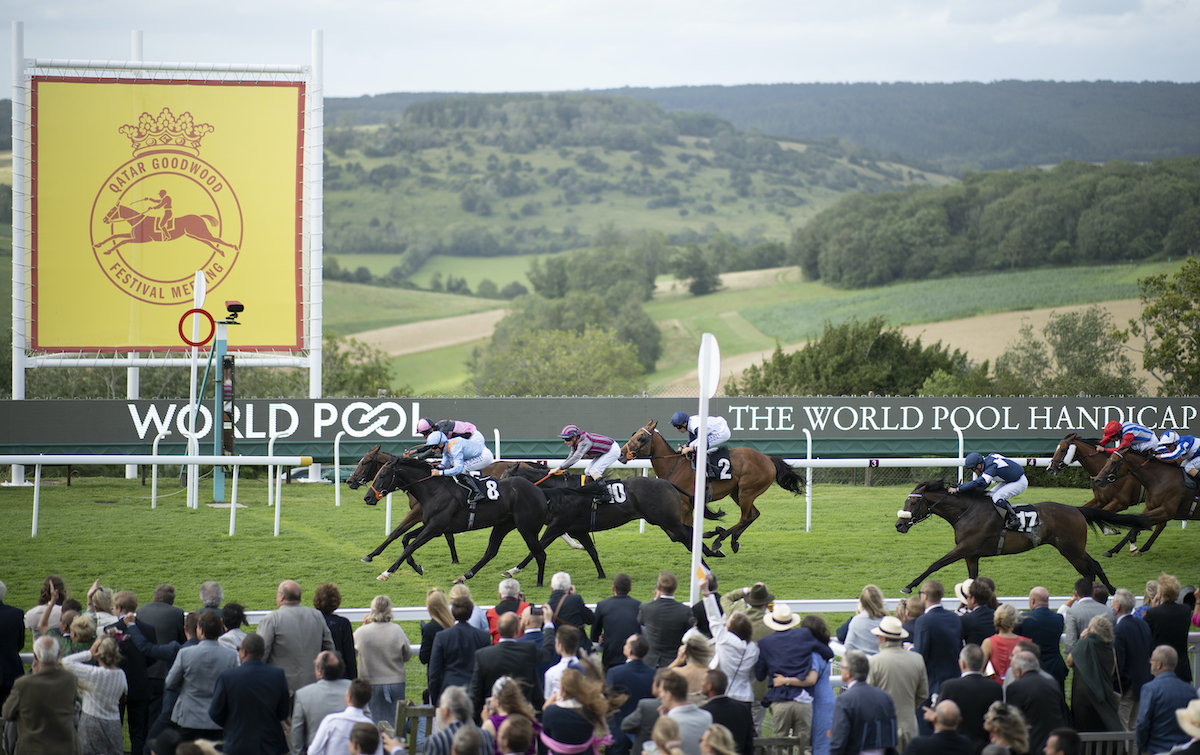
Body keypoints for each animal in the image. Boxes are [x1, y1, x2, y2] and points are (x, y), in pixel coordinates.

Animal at [92, 202, 240, 255]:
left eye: (112, 210)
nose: (104, 219)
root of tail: (198, 216)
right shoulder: (133, 236)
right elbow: (115, 236)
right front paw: (98, 245)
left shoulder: (141, 240)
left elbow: (121, 241)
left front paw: (108, 250)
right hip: (196, 235)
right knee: (210, 242)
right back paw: (221, 251)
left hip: (199, 234)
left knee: (216, 239)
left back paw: (233, 247)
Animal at [362, 453, 547, 583]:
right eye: (377, 473)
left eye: (383, 475)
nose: (368, 497)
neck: (434, 490)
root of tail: (539, 491)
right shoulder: (432, 525)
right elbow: (405, 538)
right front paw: (417, 567)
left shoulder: (434, 527)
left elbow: (410, 546)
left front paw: (386, 572)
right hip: (504, 524)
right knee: (491, 551)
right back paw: (464, 576)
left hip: (527, 528)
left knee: (540, 554)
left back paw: (539, 584)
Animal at [494, 465, 720, 576]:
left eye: (504, 478)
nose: (497, 495)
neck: (561, 491)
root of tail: (668, 483)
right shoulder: (576, 529)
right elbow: (591, 550)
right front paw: (601, 574)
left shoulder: (557, 526)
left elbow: (537, 548)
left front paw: (512, 570)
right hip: (664, 522)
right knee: (687, 534)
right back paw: (714, 548)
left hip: (666, 521)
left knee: (688, 538)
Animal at [624, 417, 801, 554]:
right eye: (634, 434)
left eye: (641, 438)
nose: (621, 454)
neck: (673, 465)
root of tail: (768, 459)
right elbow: (681, 534)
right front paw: (714, 532)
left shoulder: (685, 507)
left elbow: (689, 532)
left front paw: (714, 533)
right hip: (737, 492)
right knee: (753, 514)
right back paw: (734, 540)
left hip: (747, 491)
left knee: (745, 517)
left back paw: (720, 539)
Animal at [897, 477, 1147, 595]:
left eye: (913, 502)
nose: (899, 525)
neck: (966, 511)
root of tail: (1077, 510)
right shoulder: (972, 555)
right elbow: (973, 579)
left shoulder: (965, 548)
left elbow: (935, 564)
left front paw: (909, 586)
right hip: (1074, 548)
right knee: (1094, 566)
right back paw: (1110, 591)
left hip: (1071, 550)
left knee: (1089, 570)